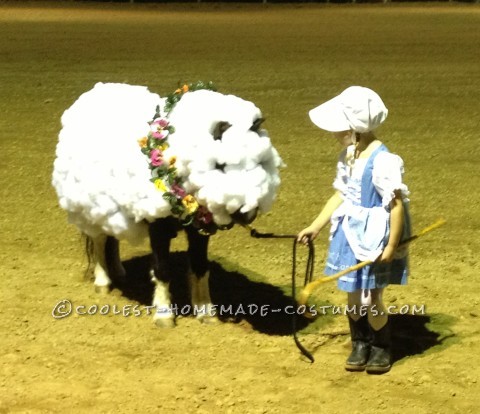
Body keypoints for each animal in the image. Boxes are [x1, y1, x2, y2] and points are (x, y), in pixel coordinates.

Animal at [52, 81, 284, 326]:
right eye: (220, 165)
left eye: (260, 162)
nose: (247, 213)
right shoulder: (158, 226)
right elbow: (162, 269)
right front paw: (164, 315)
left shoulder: (199, 228)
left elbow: (200, 267)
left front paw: (206, 312)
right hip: (91, 207)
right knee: (99, 241)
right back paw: (103, 282)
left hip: (111, 209)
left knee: (112, 239)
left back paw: (119, 272)